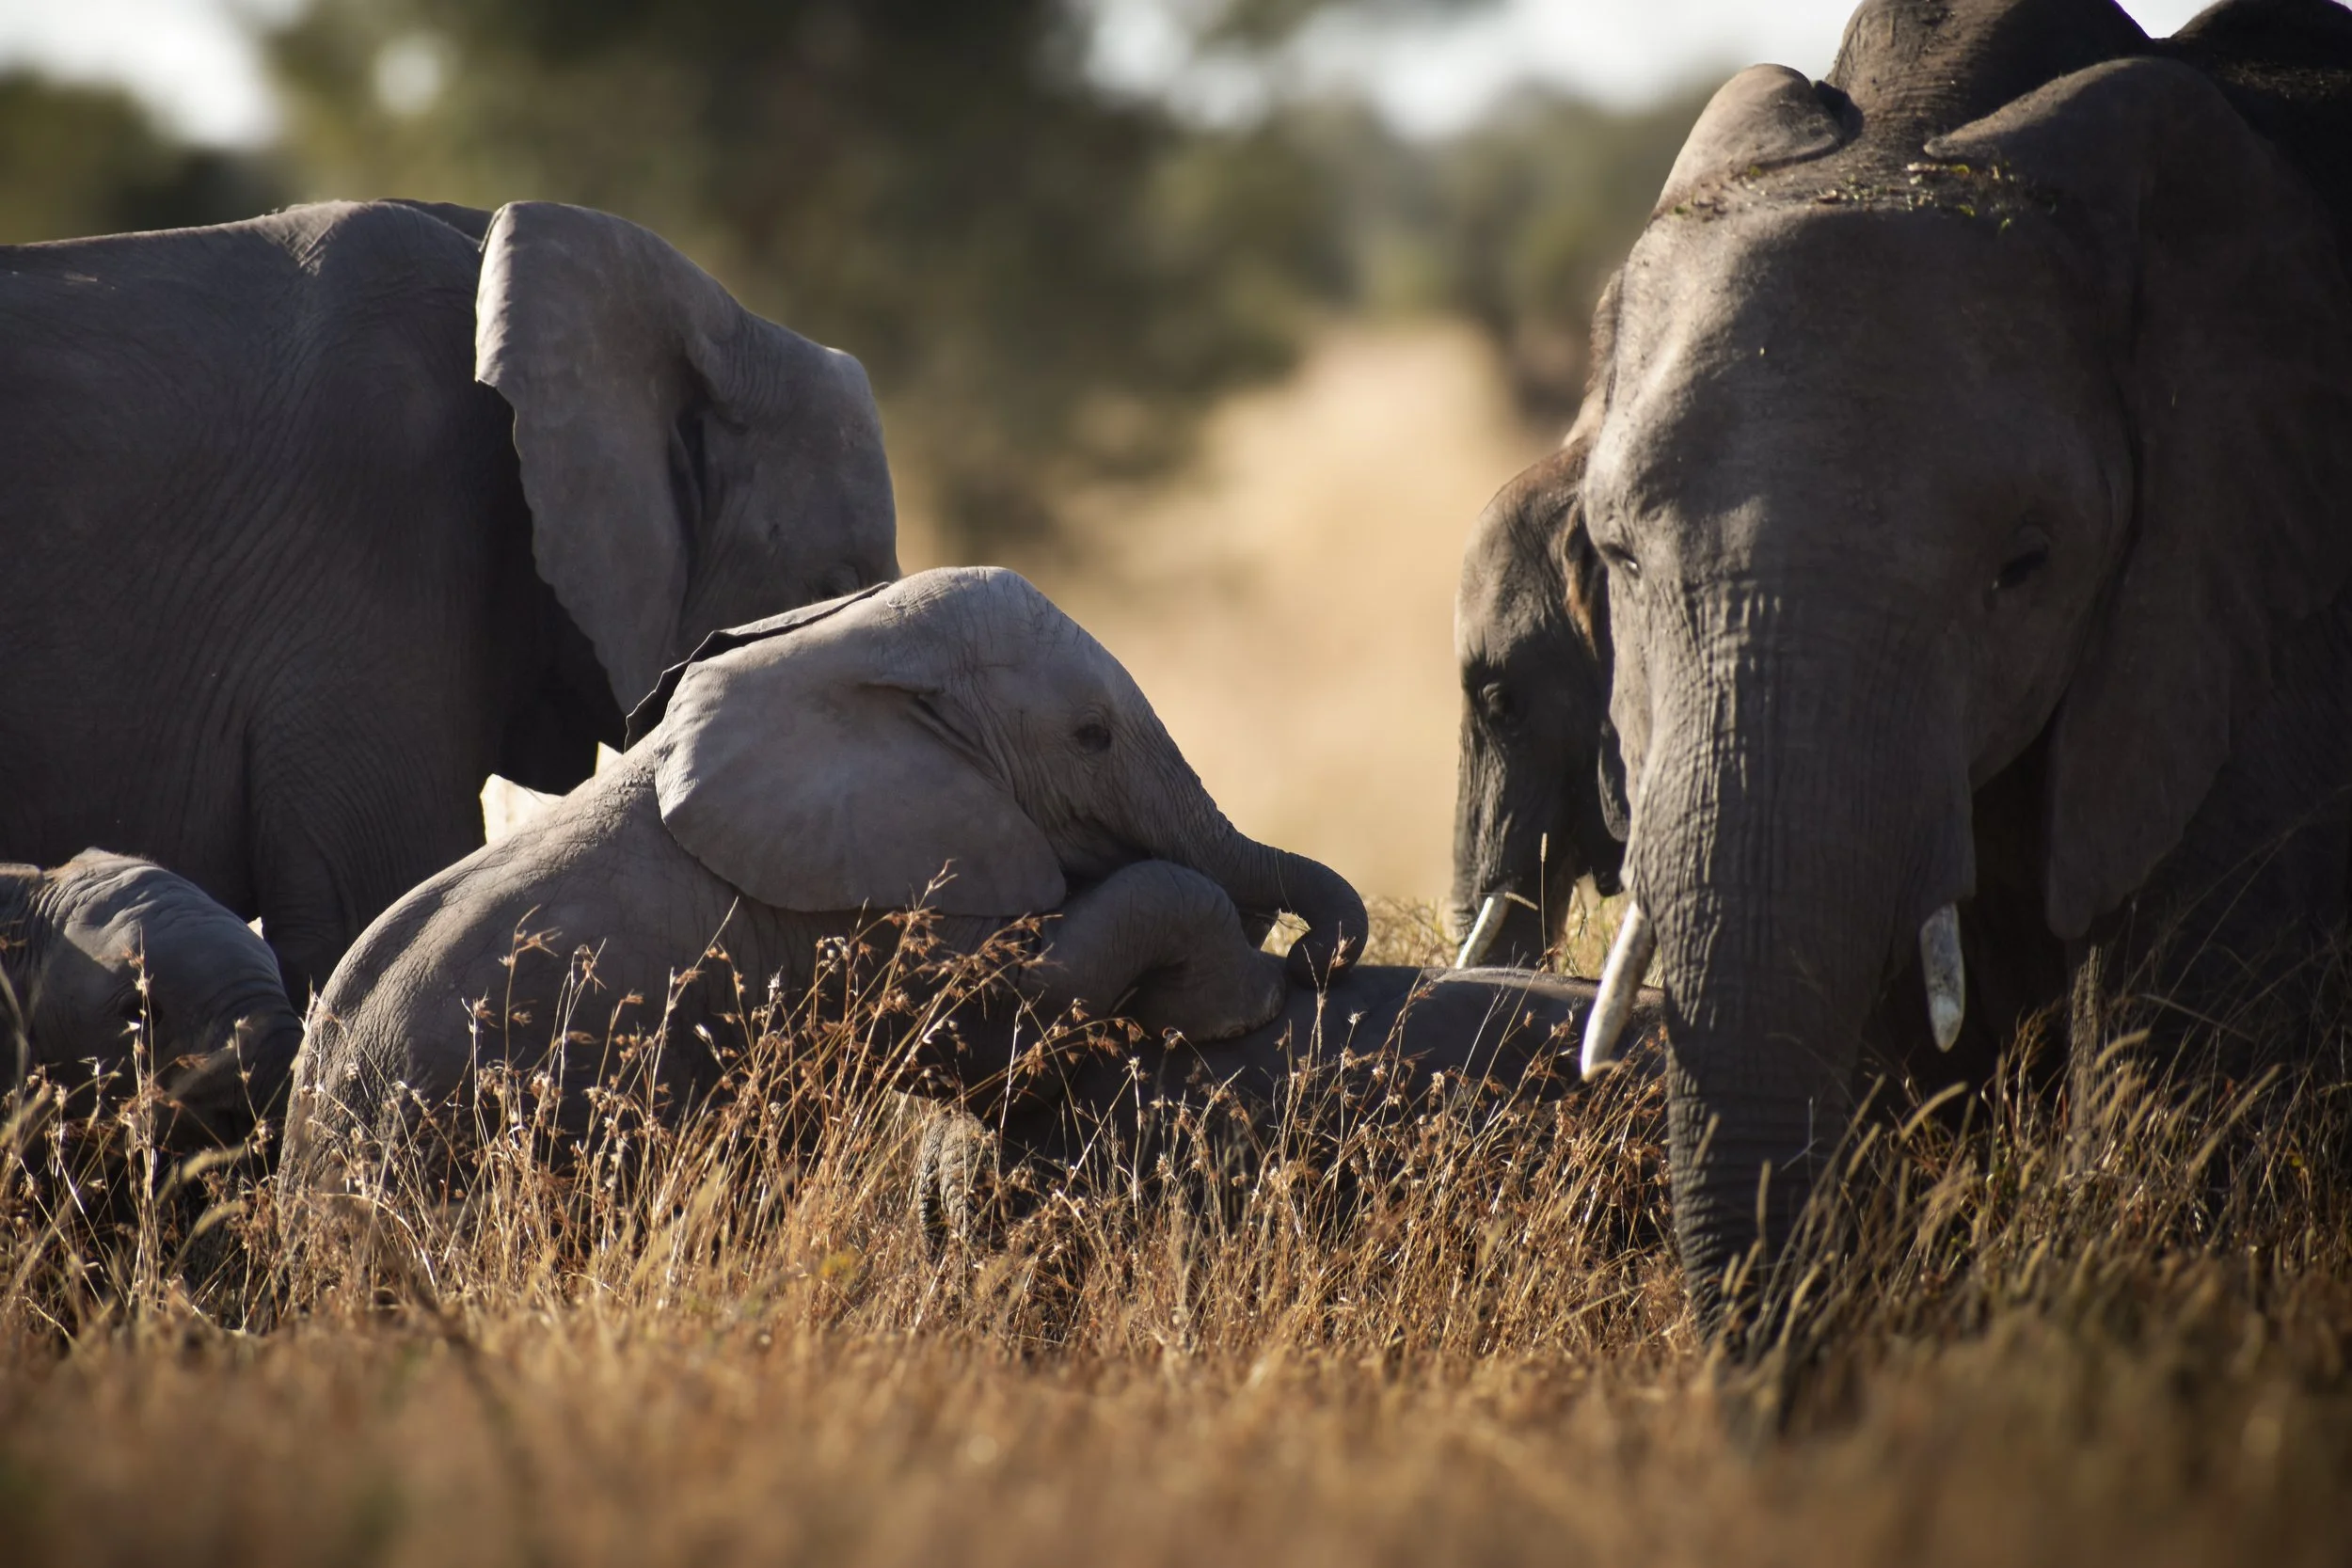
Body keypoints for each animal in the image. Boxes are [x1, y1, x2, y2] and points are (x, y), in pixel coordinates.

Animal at [283, 567, 1367, 1197]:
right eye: (1092, 737)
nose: (1311, 958)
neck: (839, 659)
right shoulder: (857, 898)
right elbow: (999, 1035)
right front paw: (1240, 1000)